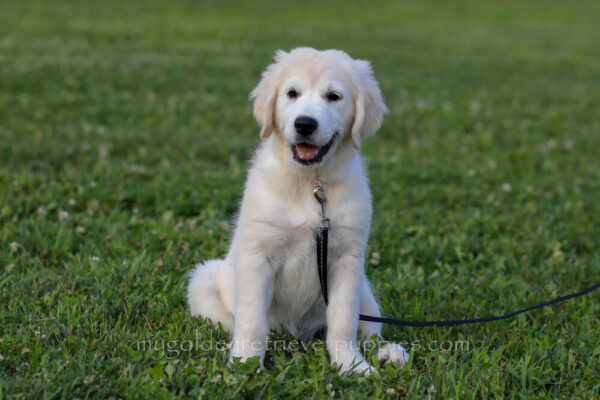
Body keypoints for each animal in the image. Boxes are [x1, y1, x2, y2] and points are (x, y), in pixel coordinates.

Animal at [190, 47, 410, 376]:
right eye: (292, 93)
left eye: (334, 96)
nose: (305, 124)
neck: (311, 184)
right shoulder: (257, 255)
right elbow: (252, 321)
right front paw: (246, 366)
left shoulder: (347, 260)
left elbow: (343, 322)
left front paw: (351, 366)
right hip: (203, 281)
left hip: (365, 289)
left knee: (370, 330)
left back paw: (388, 353)